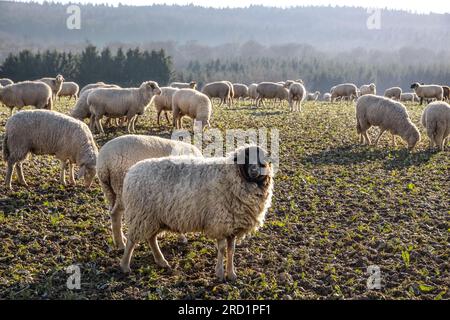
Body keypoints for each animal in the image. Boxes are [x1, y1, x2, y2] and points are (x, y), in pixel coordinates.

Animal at [120, 145, 274, 280]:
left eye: (261, 158)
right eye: (245, 157)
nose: (254, 170)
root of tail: (131, 172)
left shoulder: (232, 226)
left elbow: (231, 250)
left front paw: (231, 274)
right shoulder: (220, 223)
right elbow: (222, 249)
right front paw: (219, 273)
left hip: (154, 218)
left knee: (151, 238)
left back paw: (161, 261)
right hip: (140, 214)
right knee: (132, 241)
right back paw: (125, 266)